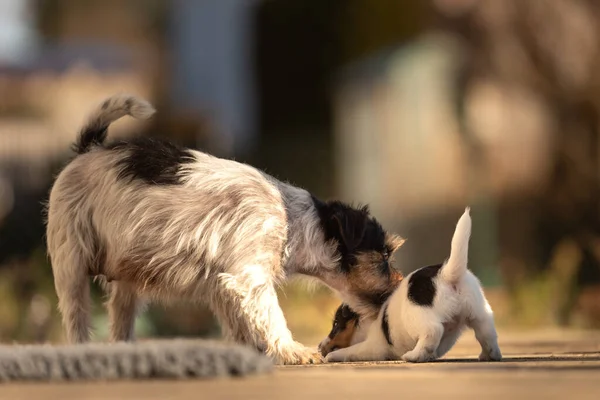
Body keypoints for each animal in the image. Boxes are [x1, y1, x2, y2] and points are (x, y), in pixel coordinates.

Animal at [44, 94, 406, 366]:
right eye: (384, 256)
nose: (403, 283)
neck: (294, 220)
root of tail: (90, 148)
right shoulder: (251, 277)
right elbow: (273, 316)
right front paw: (293, 351)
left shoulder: (223, 284)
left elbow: (240, 324)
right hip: (71, 263)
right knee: (76, 317)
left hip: (127, 282)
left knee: (121, 320)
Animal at [324, 208, 502, 364]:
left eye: (336, 324)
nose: (320, 347)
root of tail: (446, 275)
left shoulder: (373, 346)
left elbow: (348, 351)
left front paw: (330, 357)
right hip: (479, 313)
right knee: (487, 334)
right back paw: (490, 355)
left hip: (417, 317)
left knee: (433, 331)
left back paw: (414, 356)